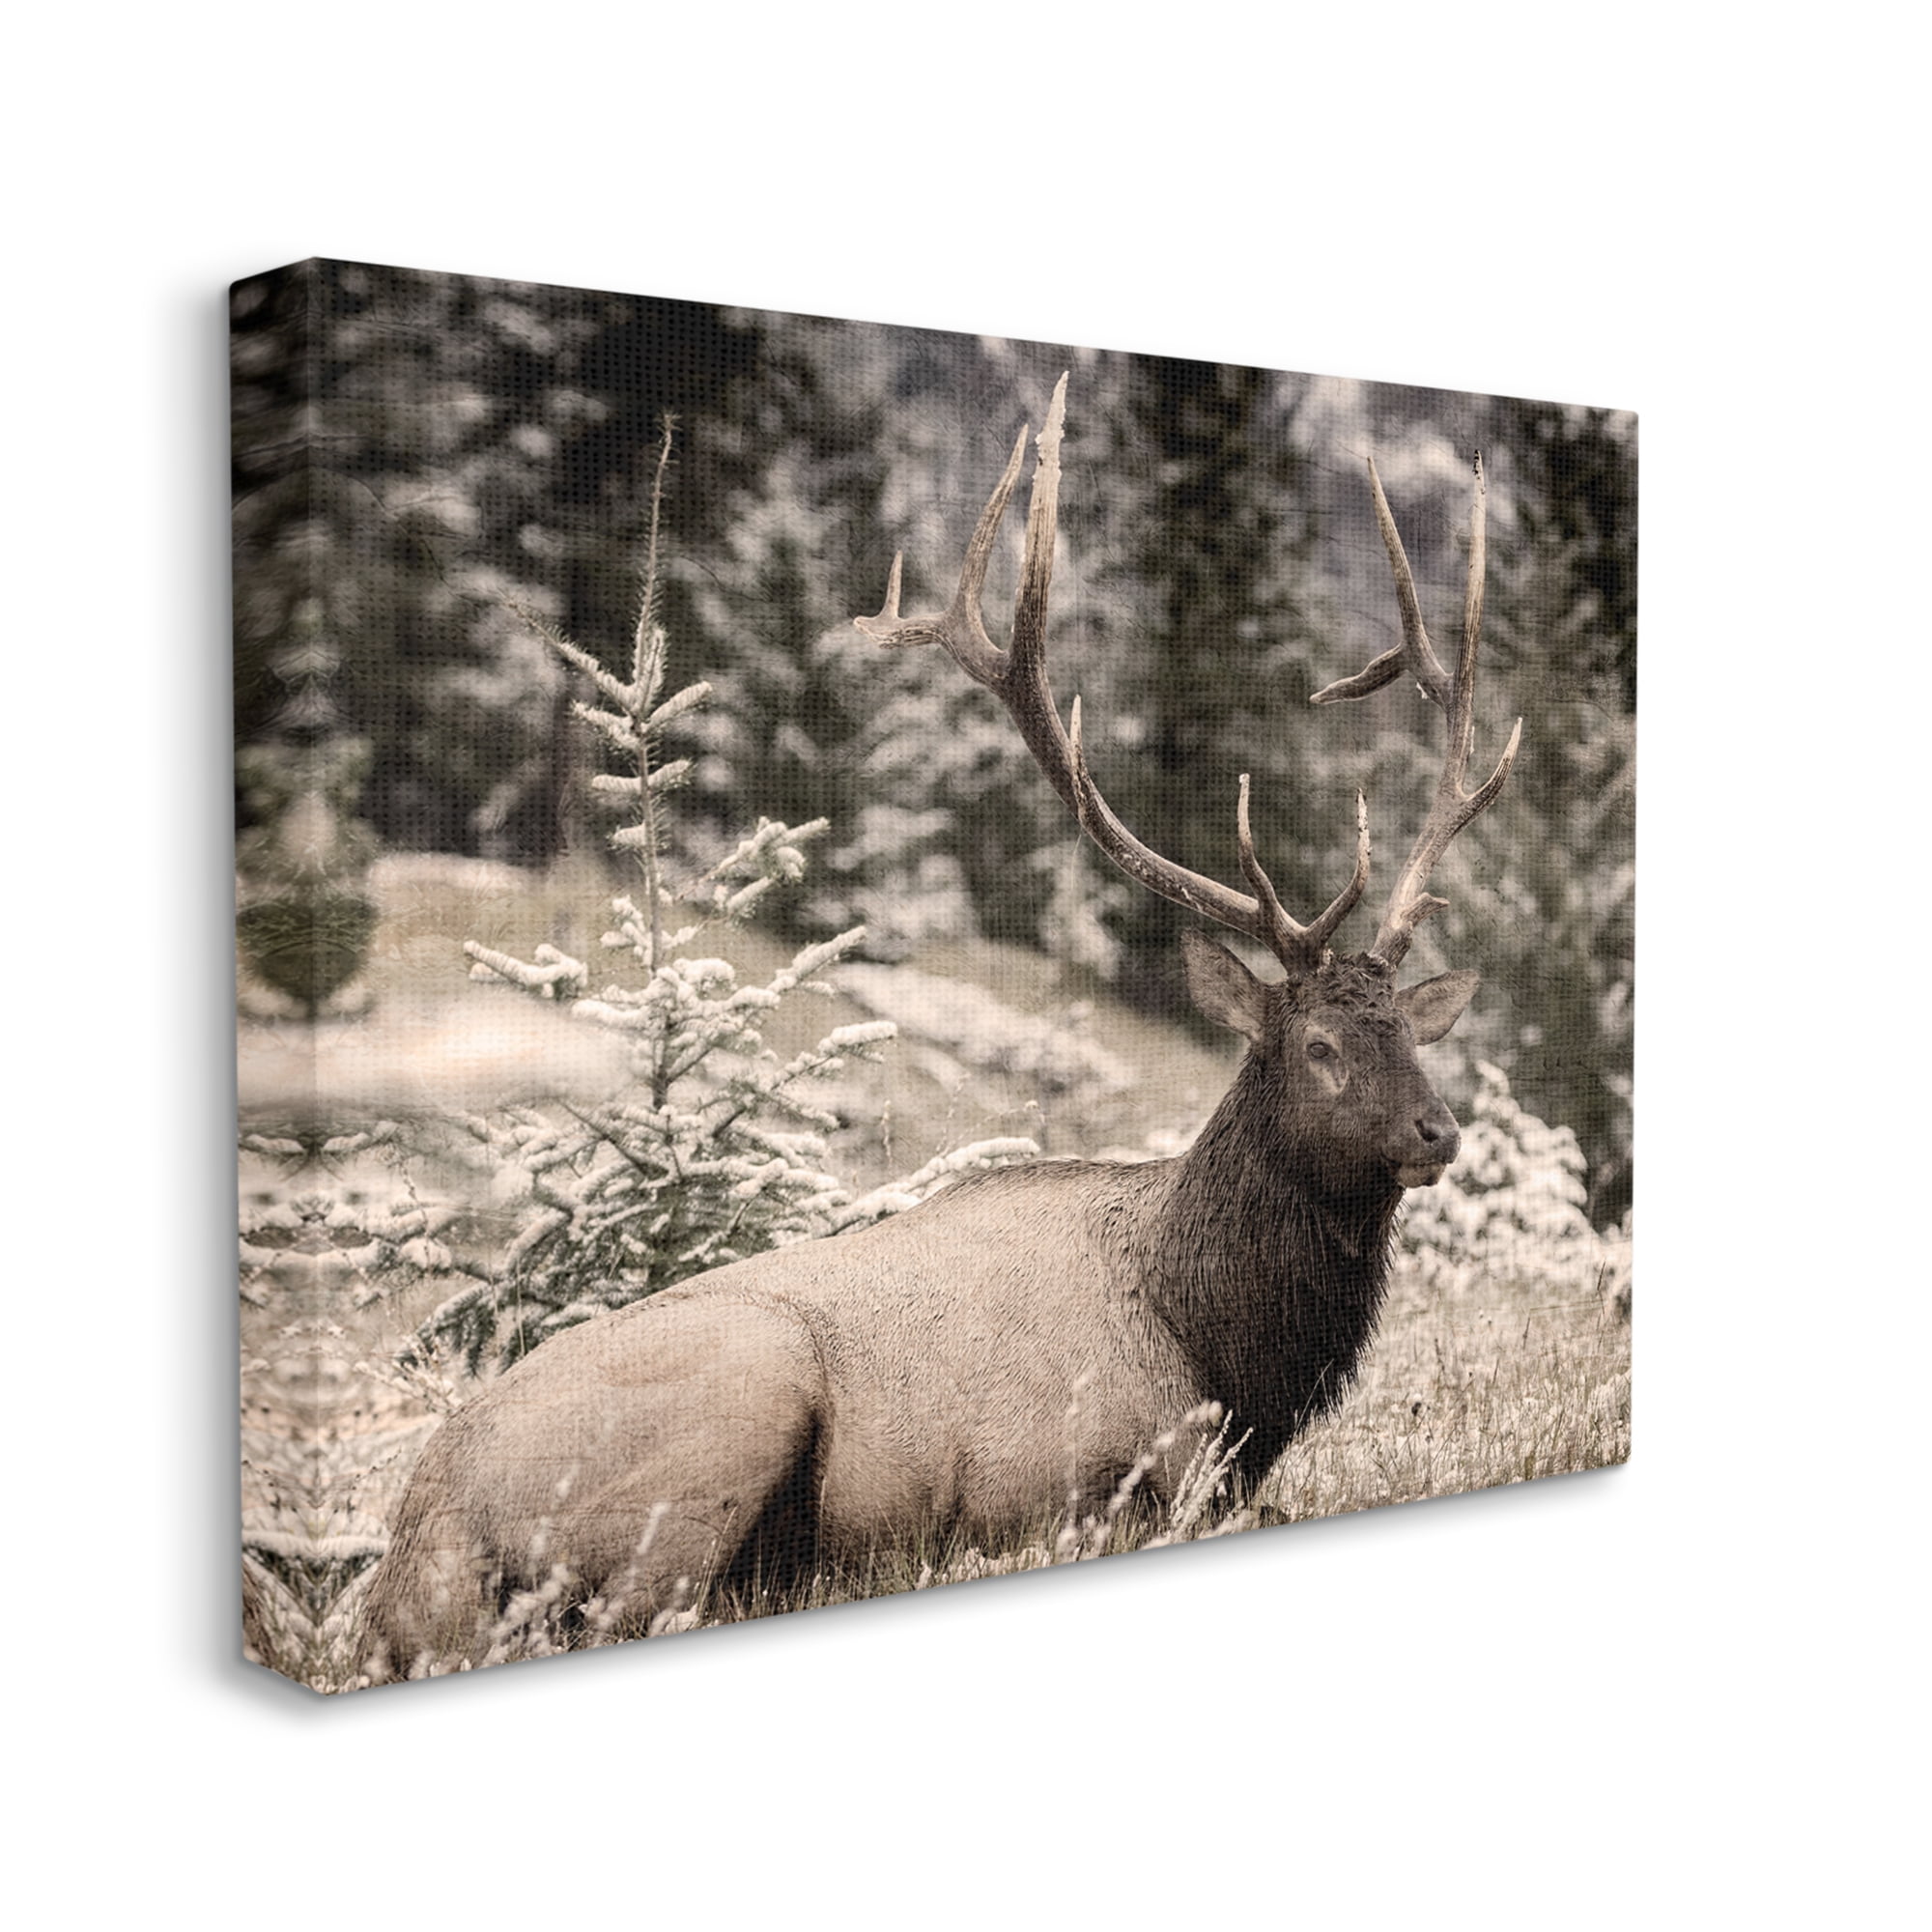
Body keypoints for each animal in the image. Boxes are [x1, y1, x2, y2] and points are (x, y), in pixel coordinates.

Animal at [361, 375, 1520, 1675]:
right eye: (1315, 1047)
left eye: (1410, 1033)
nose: (1435, 1131)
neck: (1223, 1348)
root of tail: (408, 1558)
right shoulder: (1069, 1476)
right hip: (738, 1392)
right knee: (640, 1603)